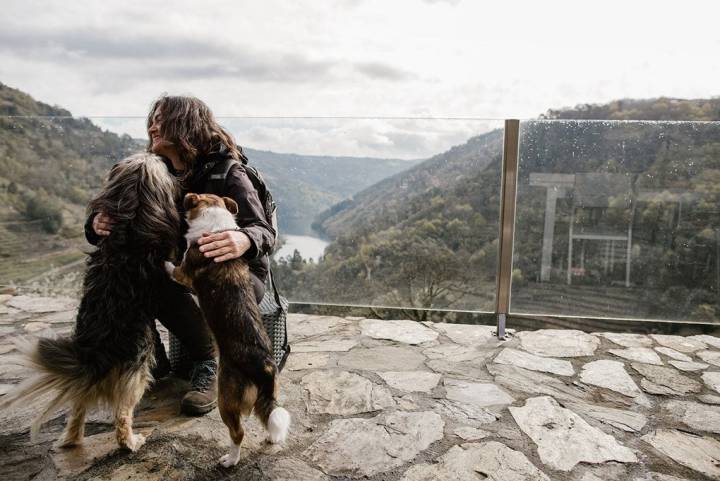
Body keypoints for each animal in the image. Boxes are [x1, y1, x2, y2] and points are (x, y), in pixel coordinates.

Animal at [0, 154, 180, 450]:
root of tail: (93, 356)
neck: (130, 212)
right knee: (122, 413)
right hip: (138, 366)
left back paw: (71, 440)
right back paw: (131, 442)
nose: (163, 157)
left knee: (78, 406)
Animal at [167, 193, 292, 466]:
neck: (216, 226)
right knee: (268, 414)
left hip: (227, 398)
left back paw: (230, 460)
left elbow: (172, 267)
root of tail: (265, 366)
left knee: (238, 432)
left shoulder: (183, 273)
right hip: (267, 395)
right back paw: (271, 438)